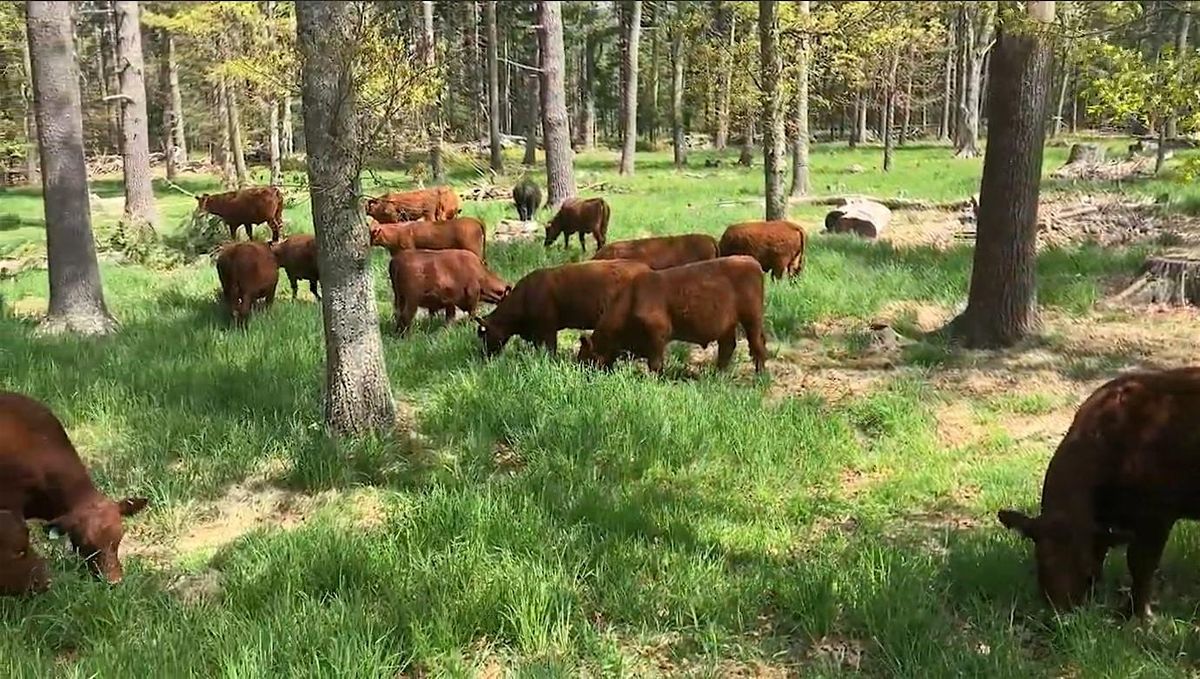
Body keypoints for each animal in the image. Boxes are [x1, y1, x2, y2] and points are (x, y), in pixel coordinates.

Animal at [576, 255, 763, 374]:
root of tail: (750, 260)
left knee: (757, 344)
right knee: (727, 347)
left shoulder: (657, 335)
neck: (632, 299)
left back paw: (759, 375)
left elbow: (655, 363)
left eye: (585, 359)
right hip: (728, 325)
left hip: (752, 320)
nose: (581, 376)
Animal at [998, 369, 1200, 619]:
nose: (1062, 613)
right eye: (1041, 562)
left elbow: (1141, 564)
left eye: (1084, 567)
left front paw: (1137, 614)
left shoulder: (1157, 517)